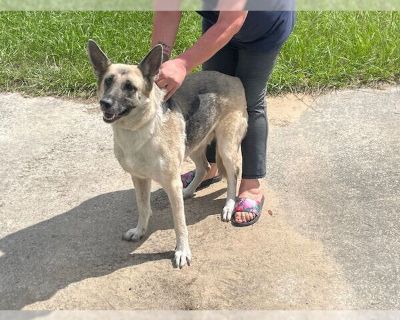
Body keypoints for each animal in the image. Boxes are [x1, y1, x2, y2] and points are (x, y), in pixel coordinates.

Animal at [88, 40, 247, 268]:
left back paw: (229, 205)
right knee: (204, 167)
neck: (139, 129)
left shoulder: (171, 182)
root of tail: (232, 78)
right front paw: (139, 231)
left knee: (233, 175)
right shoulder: (139, 178)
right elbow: (143, 207)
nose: (105, 103)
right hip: (193, 144)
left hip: (226, 147)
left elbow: (179, 223)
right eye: (108, 81)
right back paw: (188, 191)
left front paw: (182, 251)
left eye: (129, 87)